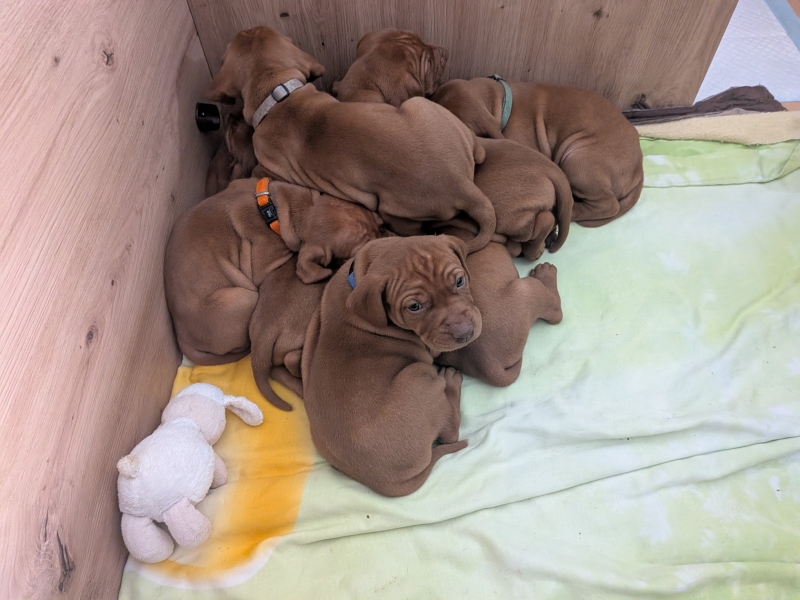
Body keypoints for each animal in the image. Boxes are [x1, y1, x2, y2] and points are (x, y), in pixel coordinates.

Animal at [164, 177, 383, 411]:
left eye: (374, 221)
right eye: (357, 251)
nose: (386, 231)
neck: (276, 209)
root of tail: (181, 336)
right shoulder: (265, 265)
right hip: (246, 298)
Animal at [207, 26, 496, 253]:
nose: (445, 51)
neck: (278, 95)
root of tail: (464, 186)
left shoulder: (264, 168)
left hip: (391, 208)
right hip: (426, 109)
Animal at [301, 236, 480, 496]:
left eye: (459, 281)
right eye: (414, 307)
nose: (465, 334)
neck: (357, 276)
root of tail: (386, 482)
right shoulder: (432, 345)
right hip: (419, 375)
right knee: (450, 434)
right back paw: (451, 381)